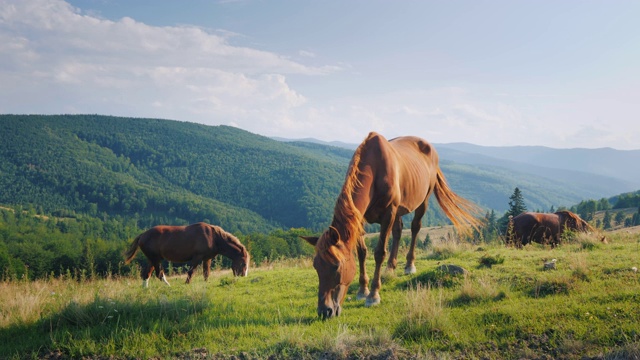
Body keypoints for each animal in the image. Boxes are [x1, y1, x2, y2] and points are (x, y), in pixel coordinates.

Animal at [122, 222, 250, 286]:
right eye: (244, 264)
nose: (243, 276)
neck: (214, 237)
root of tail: (142, 235)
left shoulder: (206, 259)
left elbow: (206, 273)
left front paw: (205, 283)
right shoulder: (197, 258)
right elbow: (191, 272)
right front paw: (187, 283)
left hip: (152, 259)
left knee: (146, 274)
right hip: (155, 259)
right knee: (159, 274)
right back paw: (168, 286)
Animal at [302, 132, 478, 318]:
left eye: (336, 266)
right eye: (316, 266)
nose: (325, 311)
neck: (374, 171)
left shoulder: (388, 213)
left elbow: (379, 253)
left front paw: (373, 295)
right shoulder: (360, 218)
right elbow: (362, 252)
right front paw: (362, 290)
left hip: (422, 201)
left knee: (415, 227)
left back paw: (409, 265)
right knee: (398, 231)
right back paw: (390, 268)